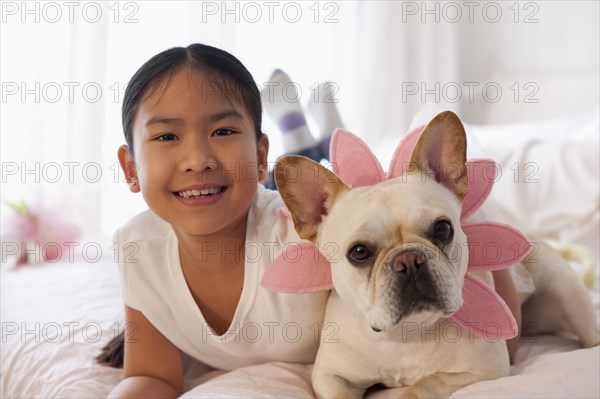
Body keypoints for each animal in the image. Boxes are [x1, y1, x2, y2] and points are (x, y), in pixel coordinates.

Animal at [274, 111, 596, 399]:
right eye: (359, 252)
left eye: (442, 229)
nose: (409, 260)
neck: (405, 334)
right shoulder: (329, 376)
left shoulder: (483, 370)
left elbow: (425, 385)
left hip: (565, 288)